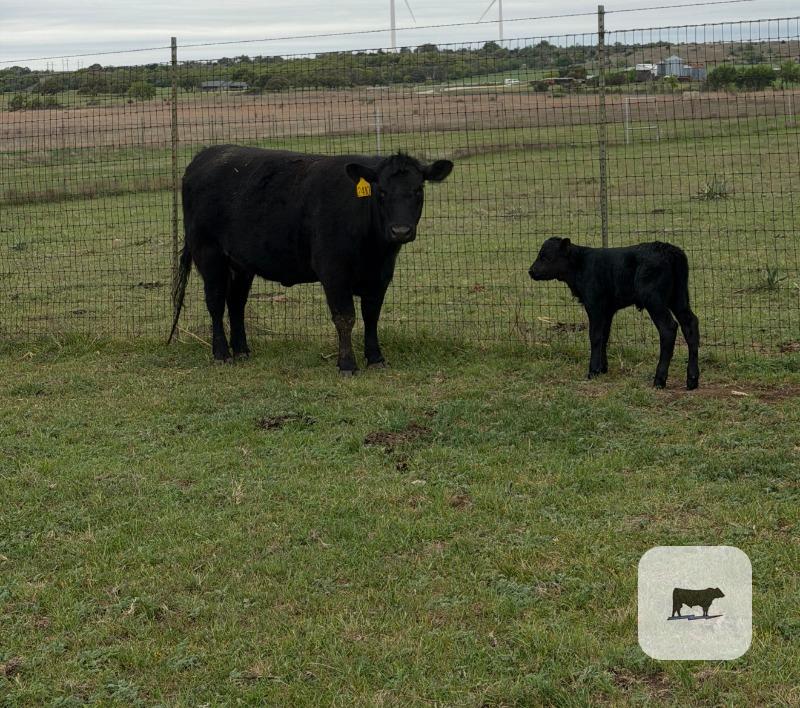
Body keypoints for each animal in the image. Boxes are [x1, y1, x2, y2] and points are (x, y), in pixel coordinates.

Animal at [169, 146, 453, 374]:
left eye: (418, 190)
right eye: (381, 191)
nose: (400, 231)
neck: (374, 249)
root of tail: (207, 154)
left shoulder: (380, 275)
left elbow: (371, 316)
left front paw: (375, 359)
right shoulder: (333, 271)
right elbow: (345, 318)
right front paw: (347, 364)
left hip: (240, 265)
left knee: (236, 303)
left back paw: (242, 351)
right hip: (209, 254)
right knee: (216, 303)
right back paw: (222, 354)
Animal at [528, 238, 700, 390]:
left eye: (546, 257)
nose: (531, 271)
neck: (581, 265)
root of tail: (669, 250)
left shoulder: (595, 305)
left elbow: (595, 336)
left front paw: (593, 370)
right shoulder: (608, 310)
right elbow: (605, 336)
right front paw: (603, 368)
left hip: (654, 299)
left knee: (668, 328)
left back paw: (659, 380)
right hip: (679, 297)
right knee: (690, 324)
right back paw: (692, 379)